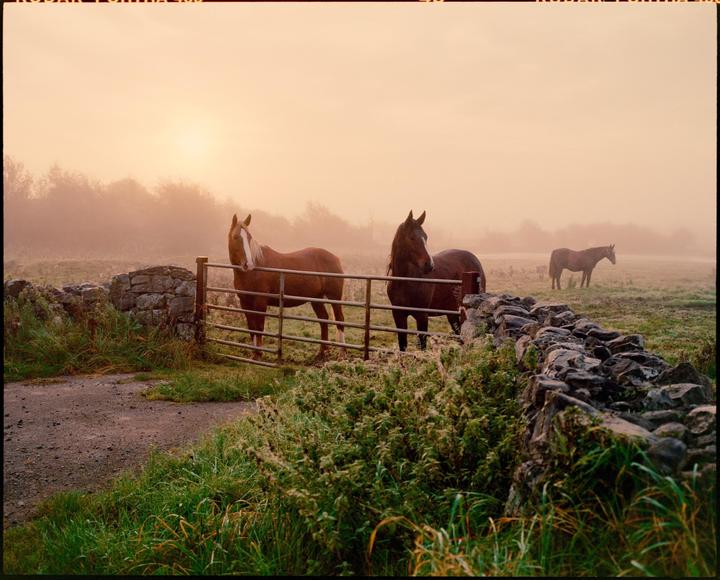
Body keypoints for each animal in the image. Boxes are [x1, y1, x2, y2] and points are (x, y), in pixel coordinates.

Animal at [227, 213, 345, 359]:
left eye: (249, 237)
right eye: (235, 237)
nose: (248, 264)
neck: (253, 272)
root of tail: (335, 258)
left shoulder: (260, 302)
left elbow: (259, 327)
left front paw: (259, 354)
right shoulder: (245, 302)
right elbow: (252, 327)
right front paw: (254, 354)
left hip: (335, 297)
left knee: (339, 320)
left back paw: (342, 354)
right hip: (315, 299)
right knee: (323, 319)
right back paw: (322, 352)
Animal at [386, 210, 486, 351]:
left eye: (426, 237)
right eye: (411, 237)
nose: (429, 265)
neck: (405, 281)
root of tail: (475, 260)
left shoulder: (422, 317)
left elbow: (423, 346)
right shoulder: (398, 315)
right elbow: (402, 346)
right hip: (452, 313)